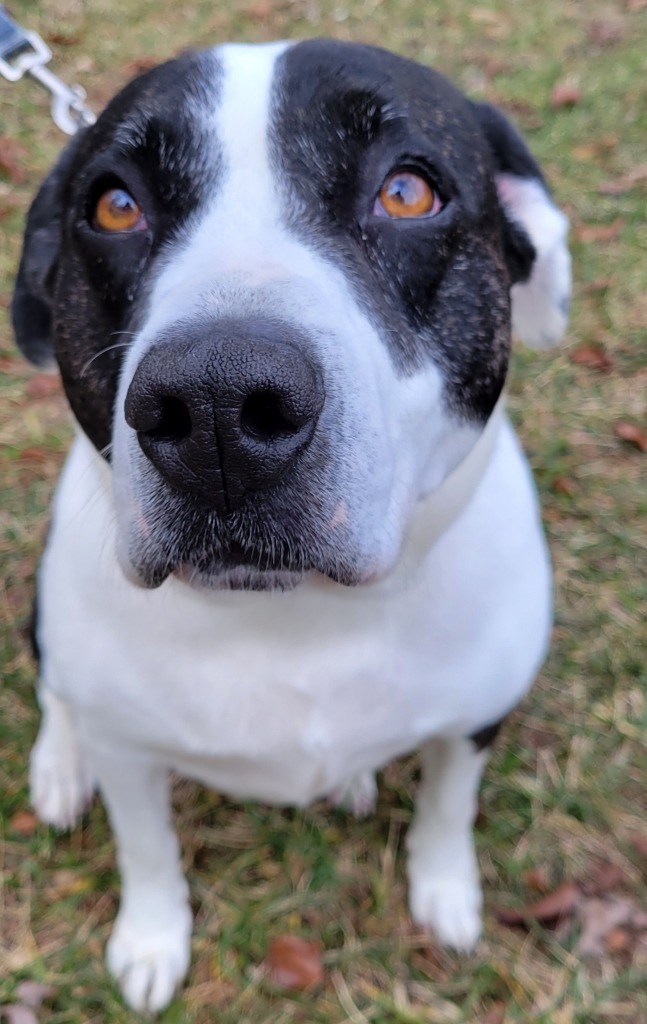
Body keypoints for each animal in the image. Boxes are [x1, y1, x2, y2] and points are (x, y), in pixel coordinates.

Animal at [12, 37, 569, 1007]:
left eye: (407, 190)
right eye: (114, 205)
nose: (216, 402)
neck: (292, 617)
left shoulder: (477, 717)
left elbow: (447, 805)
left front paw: (444, 892)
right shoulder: (129, 749)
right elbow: (147, 847)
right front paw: (151, 941)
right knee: (55, 692)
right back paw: (59, 766)